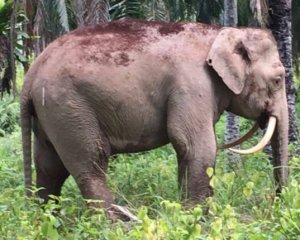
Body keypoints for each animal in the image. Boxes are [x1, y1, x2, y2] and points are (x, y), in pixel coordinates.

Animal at [20, 18, 288, 218]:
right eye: (278, 80)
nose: (276, 204)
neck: (222, 32)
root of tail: (32, 72)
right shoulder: (192, 84)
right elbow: (195, 146)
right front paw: (196, 220)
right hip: (69, 106)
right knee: (91, 163)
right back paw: (116, 222)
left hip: (50, 113)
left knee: (49, 166)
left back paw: (48, 221)